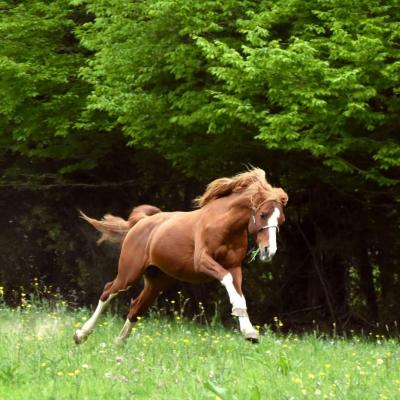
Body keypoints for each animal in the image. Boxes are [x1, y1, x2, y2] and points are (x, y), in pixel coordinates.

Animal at [74, 166, 288, 344]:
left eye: (281, 220)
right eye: (262, 215)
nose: (269, 251)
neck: (224, 225)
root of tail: (141, 222)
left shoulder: (235, 267)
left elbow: (239, 293)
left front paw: (250, 333)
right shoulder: (203, 261)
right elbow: (228, 281)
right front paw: (242, 319)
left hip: (157, 281)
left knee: (135, 309)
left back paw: (118, 344)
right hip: (129, 273)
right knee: (108, 292)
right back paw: (80, 335)